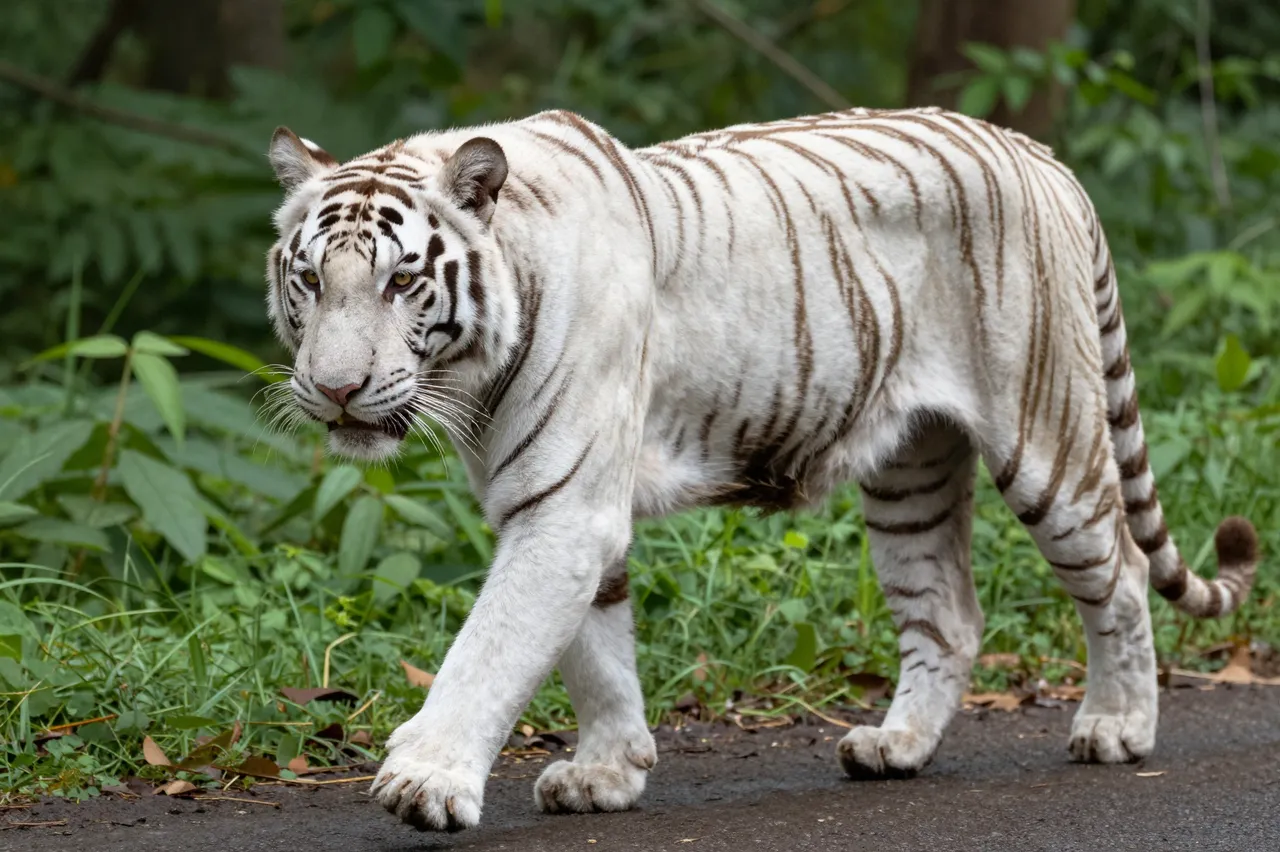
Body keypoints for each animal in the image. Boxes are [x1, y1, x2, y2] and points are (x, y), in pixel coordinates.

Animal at [263, 106, 1259, 832]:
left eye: (400, 282)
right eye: (310, 279)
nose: (337, 389)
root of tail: (1037, 153)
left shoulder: (562, 507)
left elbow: (492, 649)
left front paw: (426, 781)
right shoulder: (555, 503)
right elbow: (593, 651)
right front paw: (608, 771)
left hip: (1048, 440)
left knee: (1119, 575)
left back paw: (1118, 726)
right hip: (910, 472)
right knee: (949, 613)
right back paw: (896, 744)